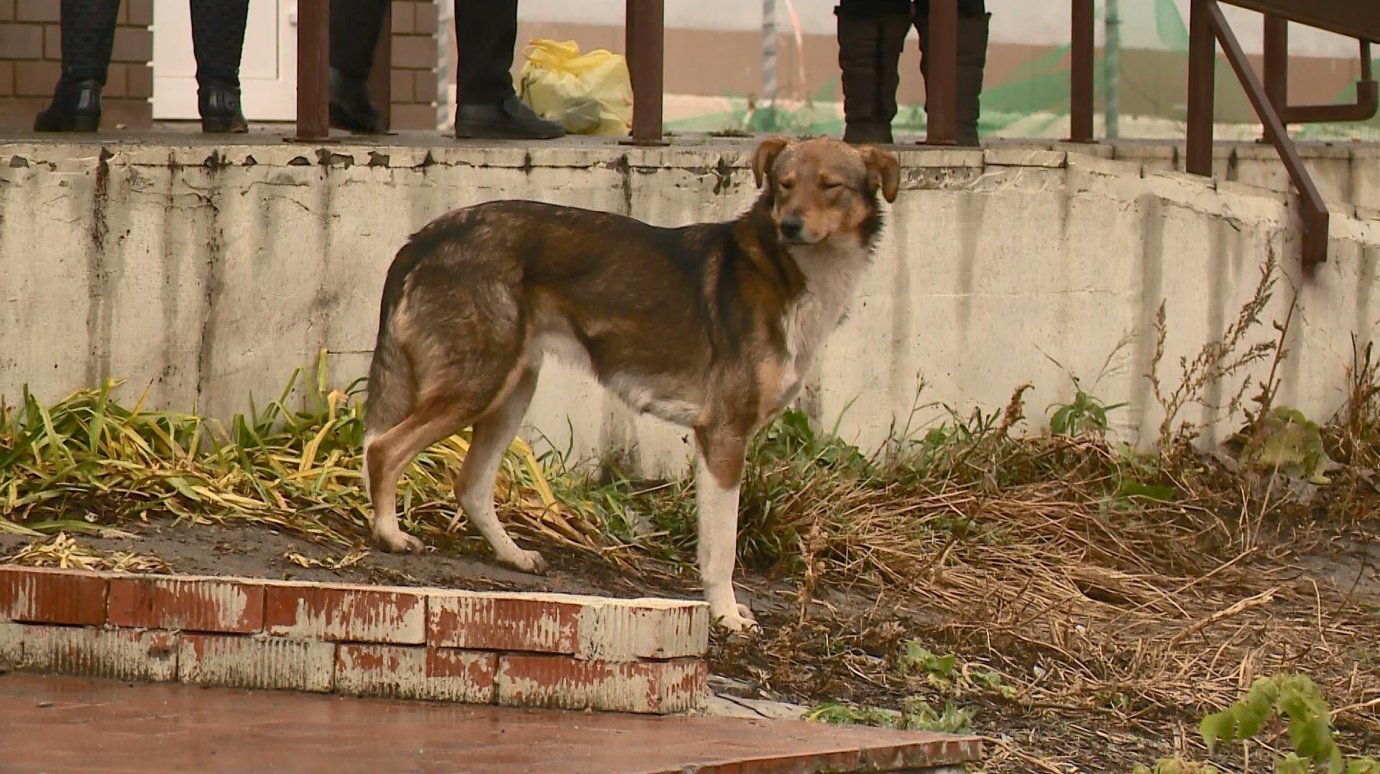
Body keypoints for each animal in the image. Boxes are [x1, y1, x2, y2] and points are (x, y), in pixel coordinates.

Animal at [361, 134, 899, 629]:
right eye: (785, 184)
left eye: (828, 186)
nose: (790, 225)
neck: (788, 271)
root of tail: (427, 234)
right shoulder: (724, 436)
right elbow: (721, 549)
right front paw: (726, 616)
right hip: (478, 384)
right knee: (384, 449)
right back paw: (391, 535)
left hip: (512, 390)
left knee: (470, 484)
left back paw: (513, 555)